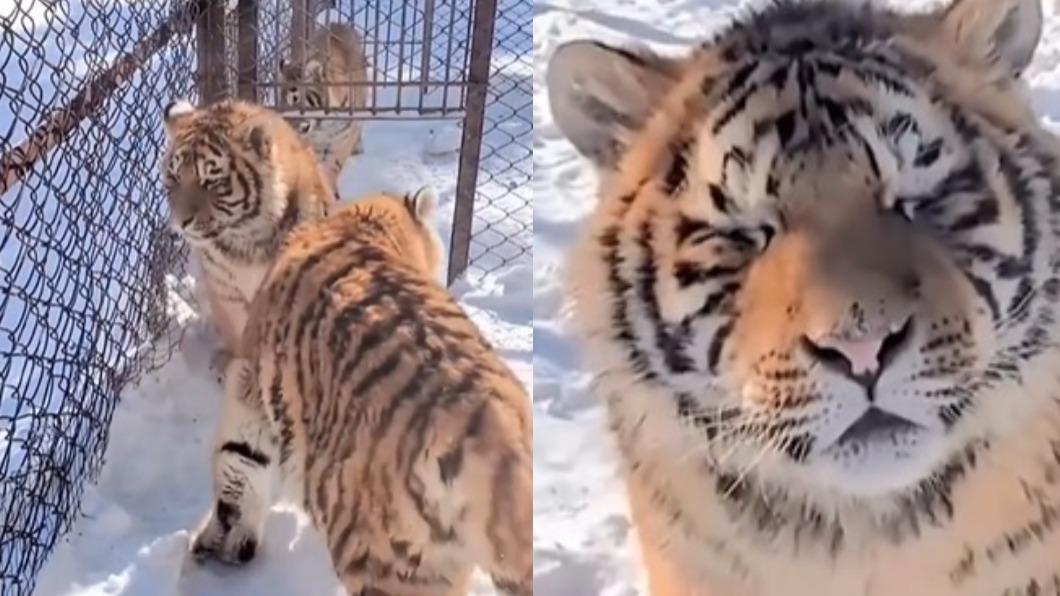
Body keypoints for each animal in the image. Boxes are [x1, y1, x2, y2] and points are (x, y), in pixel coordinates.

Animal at [161, 98, 335, 377]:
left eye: (210, 182)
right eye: (175, 177)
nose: (181, 221)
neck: (247, 241)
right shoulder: (225, 291)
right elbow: (239, 333)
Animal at [188, 187, 533, 596]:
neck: (361, 224)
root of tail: (498, 439)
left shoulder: (251, 388)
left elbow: (238, 462)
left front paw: (220, 543)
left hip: (386, 561)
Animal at [279, 22, 370, 187]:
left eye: (295, 98)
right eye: (280, 99)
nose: (283, 120)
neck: (323, 124)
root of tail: (338, 23)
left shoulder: (343, 139)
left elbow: (333, 166)